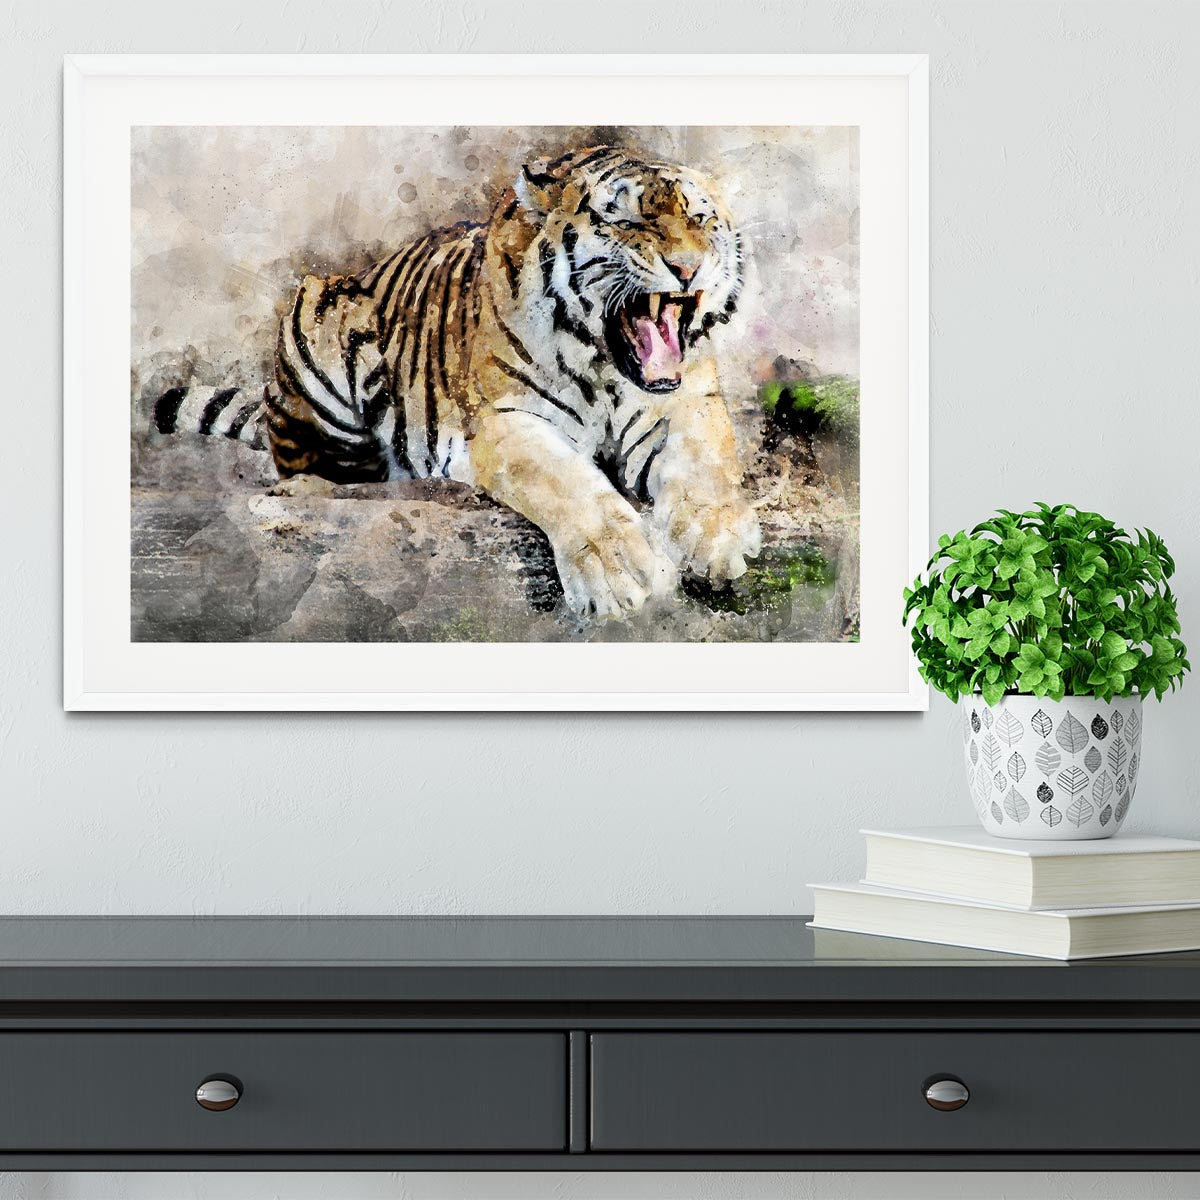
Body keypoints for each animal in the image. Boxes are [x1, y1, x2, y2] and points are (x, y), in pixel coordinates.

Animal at [153, 146, 761, 618]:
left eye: (701, 219)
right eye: (627, 221)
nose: (688, 267)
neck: (606, 366)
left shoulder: (687, 402)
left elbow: (707, 464)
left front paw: (717, 539)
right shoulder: (508, 422)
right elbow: (568, 484)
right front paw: (621, 572)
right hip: (316, 317)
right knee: (322, 465)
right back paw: (309, 489)